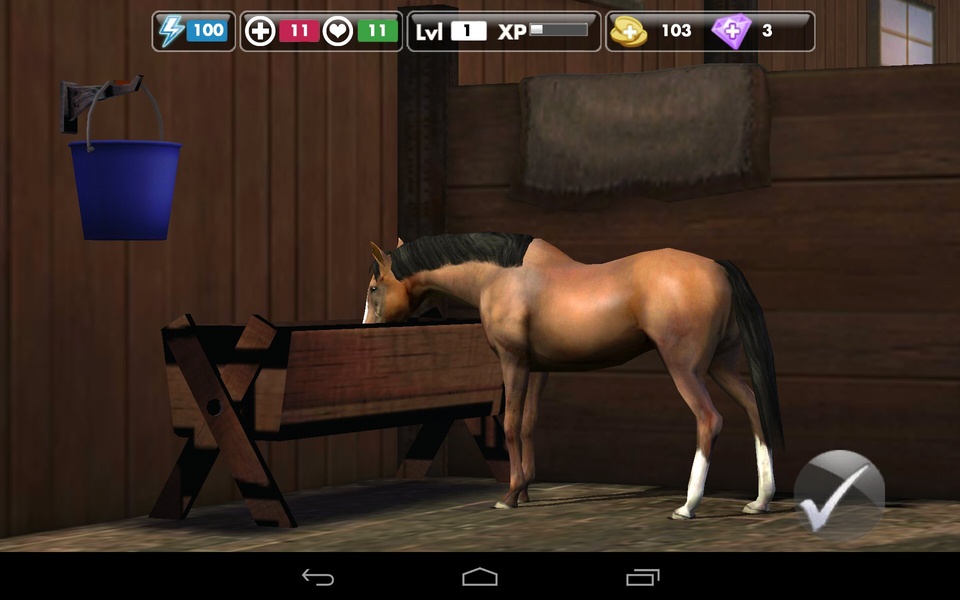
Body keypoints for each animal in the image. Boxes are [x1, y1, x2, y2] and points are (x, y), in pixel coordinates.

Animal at [363, 233, 783, 519]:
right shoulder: (538, 368)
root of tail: (718, 267)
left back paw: (687, 506)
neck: (498, 276)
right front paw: (524, 490)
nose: (367, 328)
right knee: (753, 408)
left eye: (373, 288)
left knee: (709, 420)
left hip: (686, 368)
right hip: (720, 365)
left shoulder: (513, 363)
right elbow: (528, 424)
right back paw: (759, 501)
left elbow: (511, 424)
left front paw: (508, 497)